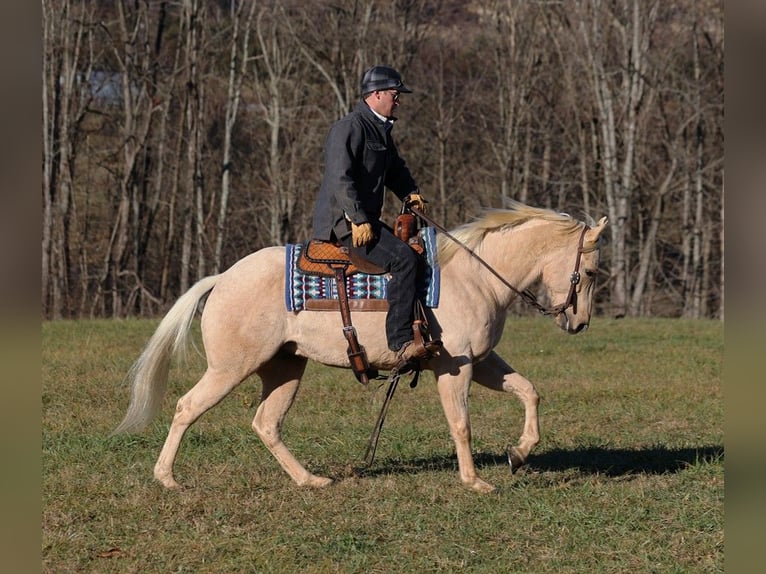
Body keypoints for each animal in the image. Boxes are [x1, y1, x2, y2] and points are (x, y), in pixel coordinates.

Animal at [114, 201, 608, 496]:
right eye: (590, 271)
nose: (579, 322)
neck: (475, 276)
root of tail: (222, 278)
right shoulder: (456, 368)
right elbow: (461, 424)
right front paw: (474, 481)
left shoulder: (482, 361)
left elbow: (529, 392)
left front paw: (519, 453)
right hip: (230, 368)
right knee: (187, 407)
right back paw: (167, 478)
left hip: (285, 368)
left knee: (266, 424)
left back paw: (310, 479)